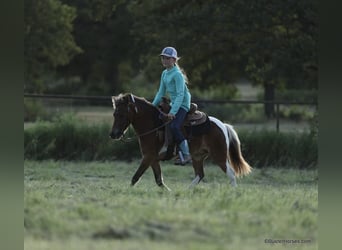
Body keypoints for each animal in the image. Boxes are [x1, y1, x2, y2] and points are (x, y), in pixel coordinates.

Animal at [109, 94, 251, 189]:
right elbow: (159, 180)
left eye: (121, 114)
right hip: (198, 157)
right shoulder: (153, 159)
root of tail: (223, 125)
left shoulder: (148, 157)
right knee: (200, 175)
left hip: (219, 155)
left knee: (231, 174)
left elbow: (136, 177)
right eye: (114, 114)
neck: (154, 125)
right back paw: (187, 191)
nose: (113, 134)